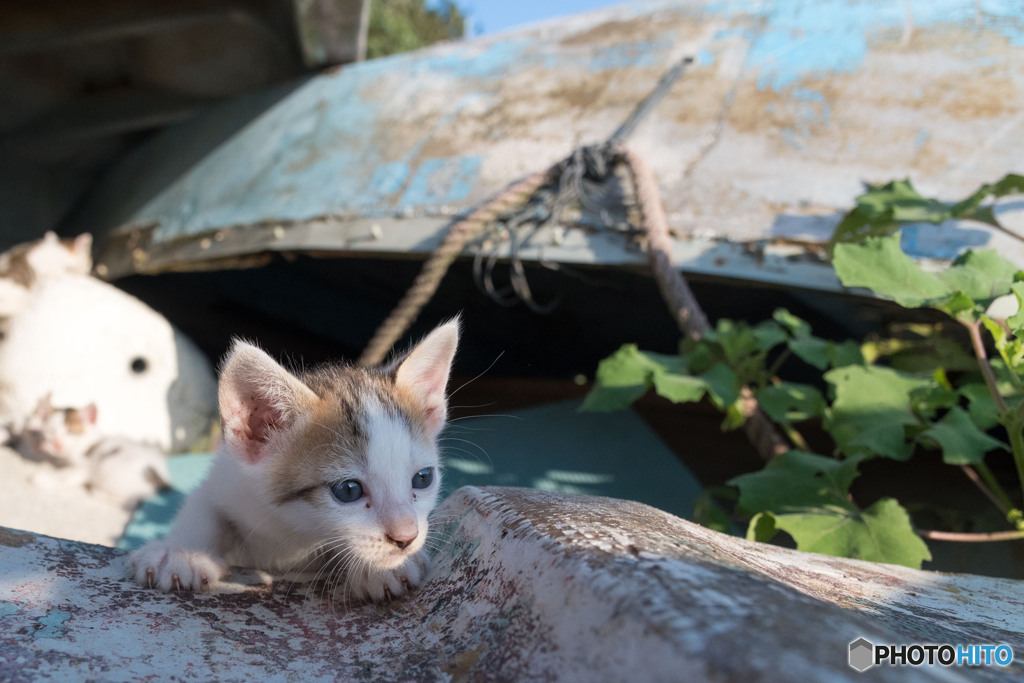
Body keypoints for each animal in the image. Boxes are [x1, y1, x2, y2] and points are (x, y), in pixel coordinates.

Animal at [128, 321, 460, 602]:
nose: (406, 538)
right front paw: (181, 553)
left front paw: (380, 568)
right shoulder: (229, 480)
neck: (291, 528)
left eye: (423, 479)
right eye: (348, 490)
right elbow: (204, 508)